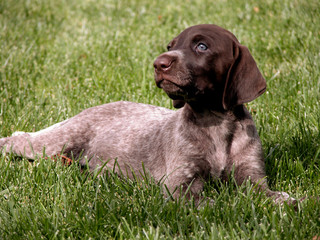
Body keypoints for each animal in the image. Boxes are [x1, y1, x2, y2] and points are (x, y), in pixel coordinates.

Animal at [0, 23, 296, 204]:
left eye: (201, 46)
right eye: (169, 47)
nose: (158, 63)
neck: (215, 124)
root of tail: (92, 108)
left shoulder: (252, 178)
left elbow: (272, 195)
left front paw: (293, 202)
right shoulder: (179, 185)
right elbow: (213, 204)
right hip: (52, 143)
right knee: (18, 139)